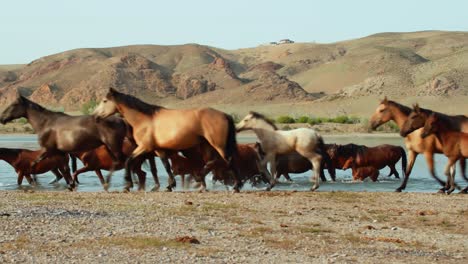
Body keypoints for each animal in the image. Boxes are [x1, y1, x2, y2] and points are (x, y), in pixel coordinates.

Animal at [0, 94, 128, 191]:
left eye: (14, 105)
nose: (2, 118)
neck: (46, 123)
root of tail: (121, 120)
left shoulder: (47, 150)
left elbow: (34, 164)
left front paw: (35, 181)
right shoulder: (59, 153)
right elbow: (66, 171)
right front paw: (71, 185)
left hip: (114, 146)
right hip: (110, 148)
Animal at [93, 87, 243, 193]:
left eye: (105, 101)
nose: (95, 116)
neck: (145, 120)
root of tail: (225, 115)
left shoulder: (144, 147)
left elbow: (128, 161)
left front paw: (127, 185)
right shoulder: (159, 150)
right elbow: (165, 166)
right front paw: (170, 185)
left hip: (218, 145)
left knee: (227, 161)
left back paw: (235, 186)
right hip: (208, 145)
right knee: (213, 162)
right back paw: (202, 182)